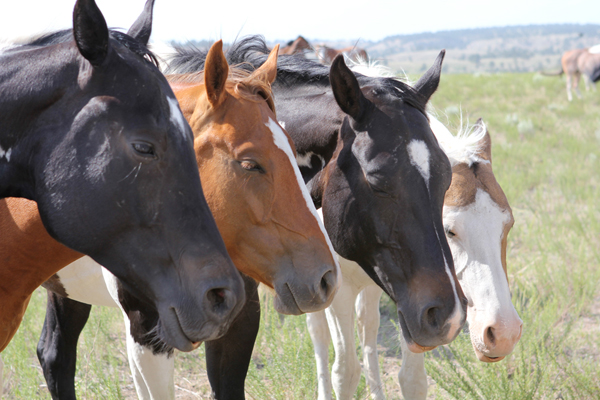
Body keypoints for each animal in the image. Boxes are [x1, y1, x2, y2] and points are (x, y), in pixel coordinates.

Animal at [32, 38, 340, 400]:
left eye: (293, 151)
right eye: (250, 164)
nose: (326, 278)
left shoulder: (240, 318)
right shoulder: (146, 329)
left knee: (55, 354)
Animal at [308, 116, 524, 400]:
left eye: (508, 224)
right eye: (449, 230)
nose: (503, 333)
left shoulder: (418, 305)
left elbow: (413, 379)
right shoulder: (339, 293)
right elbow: (345, 373)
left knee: (368, 328)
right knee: (319, 334)